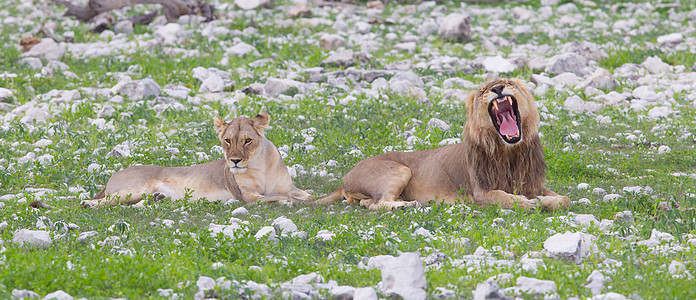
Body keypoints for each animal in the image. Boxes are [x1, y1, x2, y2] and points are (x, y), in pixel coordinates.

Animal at [79, 111, 312, 207]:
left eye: (247, 140)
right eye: (227, 140)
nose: (235, 161)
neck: (260, 166)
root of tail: (116, 174)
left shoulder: (290, 187)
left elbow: (305, 195)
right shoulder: (245, 195)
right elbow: (275, 197)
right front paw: (285, 201)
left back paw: (158, 198)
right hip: (133, 188)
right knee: (104, 200)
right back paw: (87, 203)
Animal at [320, 77, 572, 211]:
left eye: (508, 82)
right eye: (484, 90)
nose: (498, 89)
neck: (509, 152)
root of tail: (345, 178)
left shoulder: (532, 184)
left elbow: (564, 199)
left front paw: (546, 200)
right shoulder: (480, 192)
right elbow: (504, 197)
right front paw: (527, 203)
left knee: (367, 203)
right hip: (400, 170)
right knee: (376, 204)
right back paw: (407, 205)